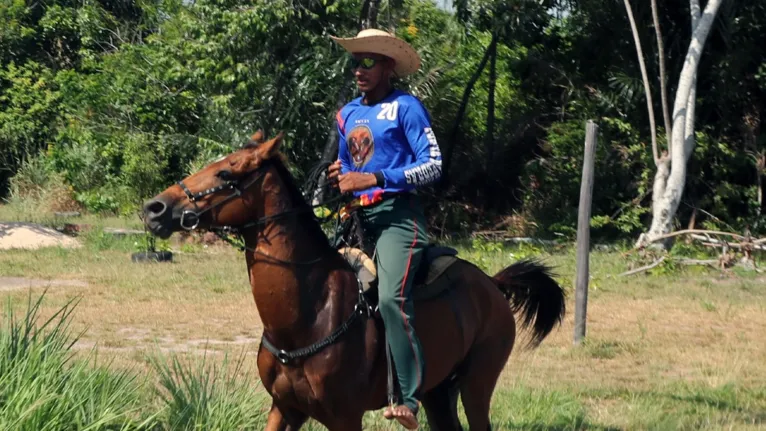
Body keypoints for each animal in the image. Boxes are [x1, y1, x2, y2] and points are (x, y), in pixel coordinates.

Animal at [142, 132, 564, 431]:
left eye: (226, 173)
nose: (155, 208)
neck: (308, 313)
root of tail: (491, 284)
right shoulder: (284, 408)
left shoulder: (344, 417)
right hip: (438, 391)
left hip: (478, 383)